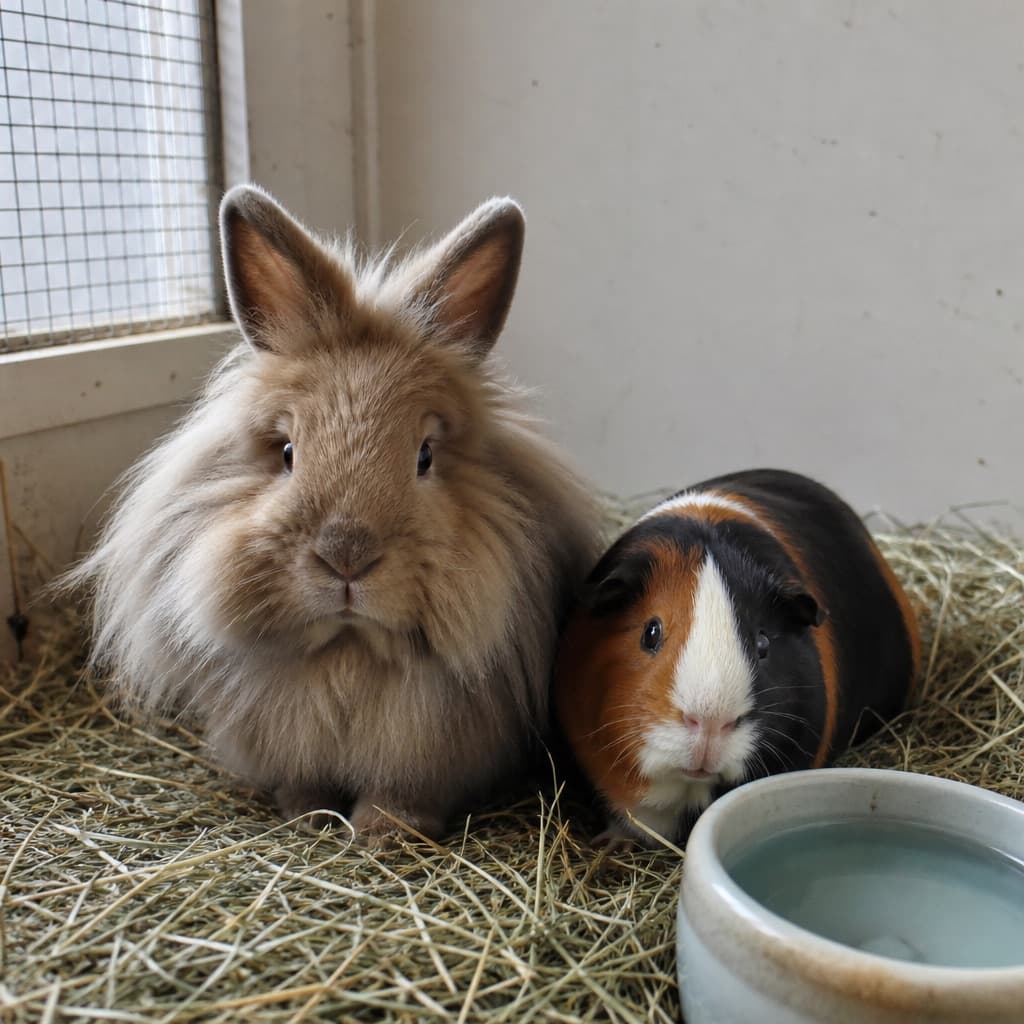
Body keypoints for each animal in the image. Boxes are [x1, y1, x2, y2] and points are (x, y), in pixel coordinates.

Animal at [70, 185, 600, 840]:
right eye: (287, 452)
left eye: (424, 455)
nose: (346, 557)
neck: (348, 651)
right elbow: (302, 785)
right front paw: (307, 816)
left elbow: (403, 795)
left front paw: (381, 831)